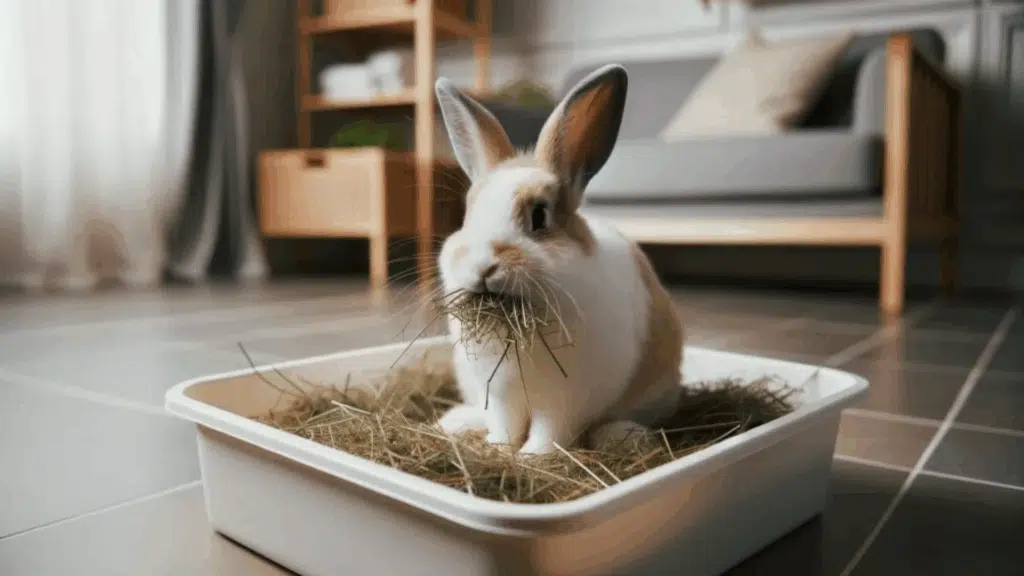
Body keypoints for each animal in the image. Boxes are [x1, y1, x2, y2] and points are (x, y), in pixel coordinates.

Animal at [432, 64, 684, 455]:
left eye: (539, 216)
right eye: (467, 216)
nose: (484, 265)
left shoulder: (565, 401)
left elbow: (549, 431)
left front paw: (531, 458)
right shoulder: (500, 394)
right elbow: (504, 426)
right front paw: (499, 450)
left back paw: (624, 436)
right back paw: (456, 422)